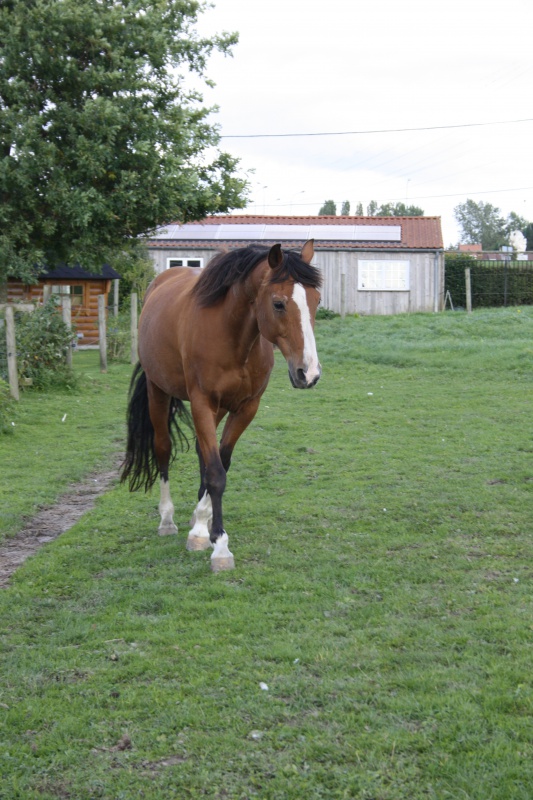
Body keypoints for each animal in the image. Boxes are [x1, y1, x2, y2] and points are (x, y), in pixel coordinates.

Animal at [120, 241, 320, 572]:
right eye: (278, 304)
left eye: (316, 301)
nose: (309, 373)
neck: (232, 336)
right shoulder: (202, 402)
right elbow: (215, 473)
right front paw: (219, 546)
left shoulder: (246, 407)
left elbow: (219, 463)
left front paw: (204, 526)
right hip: (157, 391)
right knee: (163, 448)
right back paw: (167, 519)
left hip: (219, 409)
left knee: (203, 453)